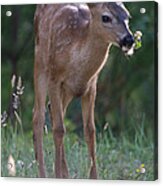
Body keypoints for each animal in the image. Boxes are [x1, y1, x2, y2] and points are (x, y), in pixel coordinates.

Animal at [32, 1, 134, 179]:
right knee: (38, 116)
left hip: (67, 90)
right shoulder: (54, 77)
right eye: (106, 17)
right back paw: (43, 174)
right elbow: (59, 129)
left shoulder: (91, 86)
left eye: (127, 16)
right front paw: (57, 175)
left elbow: (90, 130)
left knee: (52, 110)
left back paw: (65, 173)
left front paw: (94, 177)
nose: (129, 39)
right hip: (40, 63)